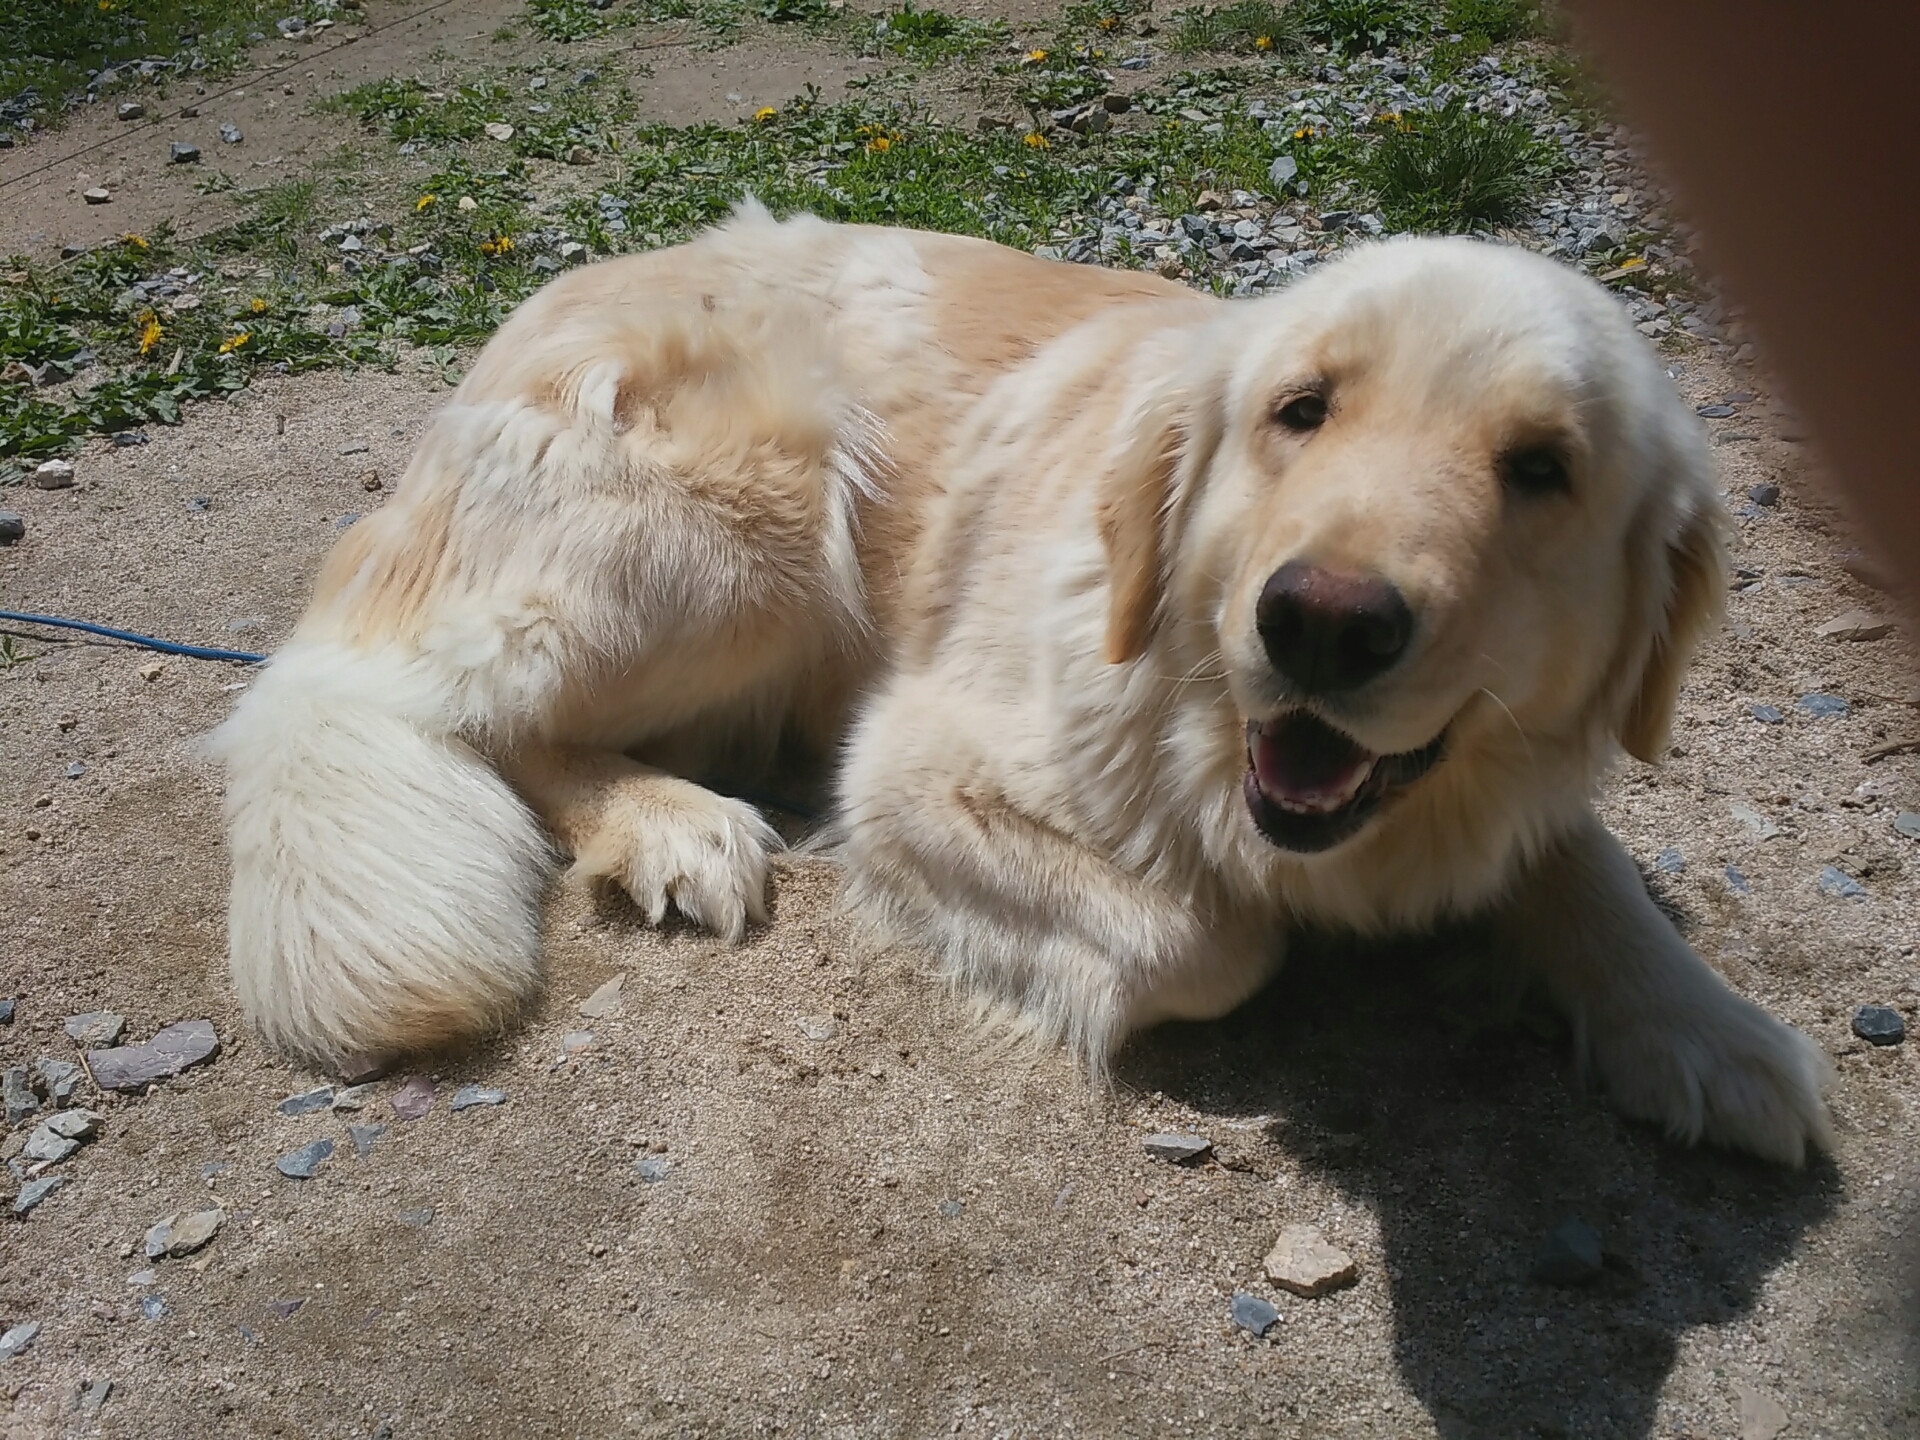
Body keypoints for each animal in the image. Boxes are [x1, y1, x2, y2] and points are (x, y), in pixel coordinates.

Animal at [212, 204, 1832, 1166]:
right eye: (1300, 412)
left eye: (1541, 470)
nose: (1320, 626)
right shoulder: (907, 770)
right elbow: (1215, 938)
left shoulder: (1502, 780)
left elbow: (1580, 864)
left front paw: (1705, 1030)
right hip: (758, 517)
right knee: (490, 719)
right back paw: (672, 821)